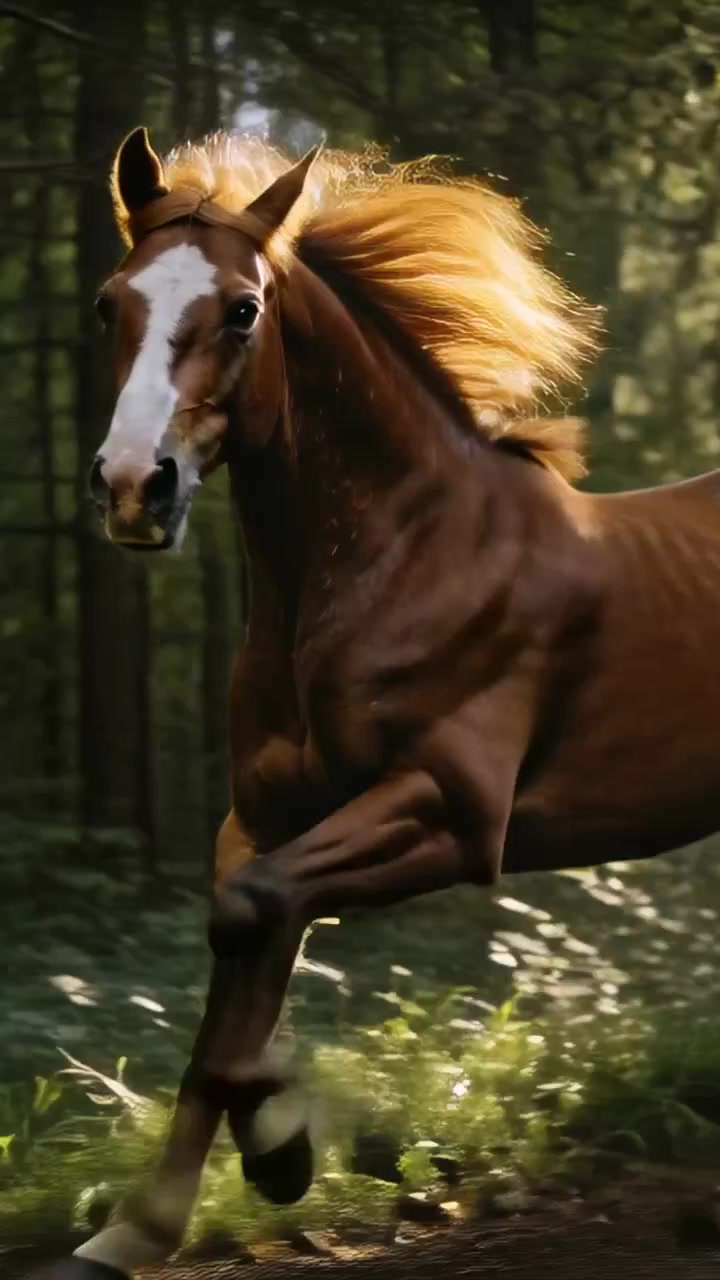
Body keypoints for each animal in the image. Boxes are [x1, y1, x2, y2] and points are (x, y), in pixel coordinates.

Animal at [46, 124, 720, 1280]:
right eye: (107, 301)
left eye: (243, 308)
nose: (136, 487)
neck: (403, 559)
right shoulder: (262, 818)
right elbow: (237, 958)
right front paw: (139, 1224)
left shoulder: (451, 810)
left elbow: (256, 911)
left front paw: (288, 1145)